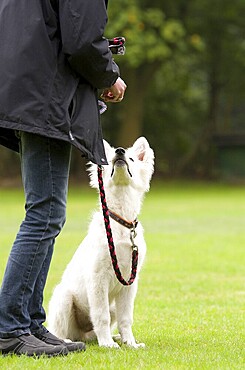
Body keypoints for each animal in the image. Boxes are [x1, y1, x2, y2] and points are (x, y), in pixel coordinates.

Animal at [47, 137, 154, 348]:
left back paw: (115, 337)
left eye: (132, 158)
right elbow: (101, 315)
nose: (119, 152)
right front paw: (107, 344)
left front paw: (130, 343)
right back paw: (67, 340)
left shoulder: (130, 282)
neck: (120, 224)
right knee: (58, 330)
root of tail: (80, 334)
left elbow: (126, 318)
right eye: (110, 157)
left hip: (111, 306)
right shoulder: (97, 279)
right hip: (64, 297)